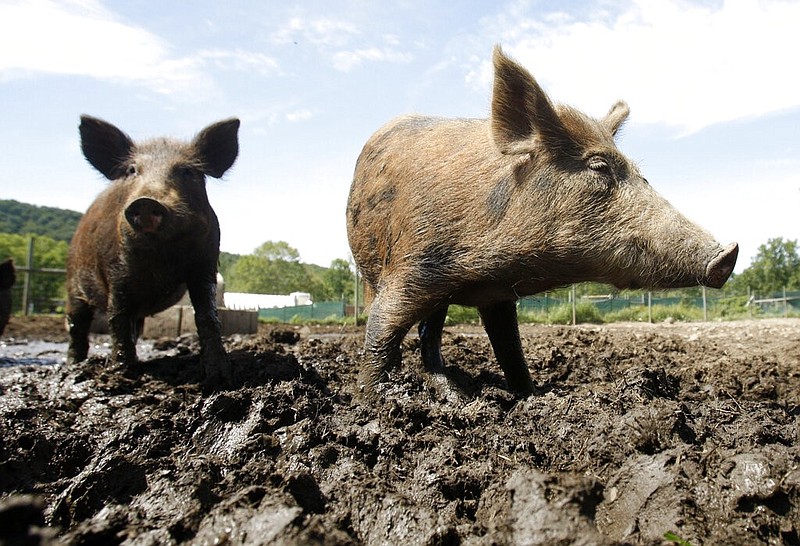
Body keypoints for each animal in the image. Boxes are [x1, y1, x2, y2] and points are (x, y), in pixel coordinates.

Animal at [66, 116, 239, 384]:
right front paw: (122, 378)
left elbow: (207, 315)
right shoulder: (117, 270)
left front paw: (219, 377)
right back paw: (74, 366)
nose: (146, 201)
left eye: (187, 171)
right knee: (78, 322)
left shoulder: (205, 264)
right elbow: (117, 316)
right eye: (132, 170)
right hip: (74, 283)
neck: (162, 257)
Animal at [346, 45, 740, 396]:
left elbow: (510, 348)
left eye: (642, 175)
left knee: (432, 331)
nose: (729, 253)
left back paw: (455, 394)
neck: (490, 274)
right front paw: (372, 403)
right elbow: (381, 331)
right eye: (599, 166)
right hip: (372, 269)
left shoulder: (497, 295)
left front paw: (530, 395)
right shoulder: (413, 267)